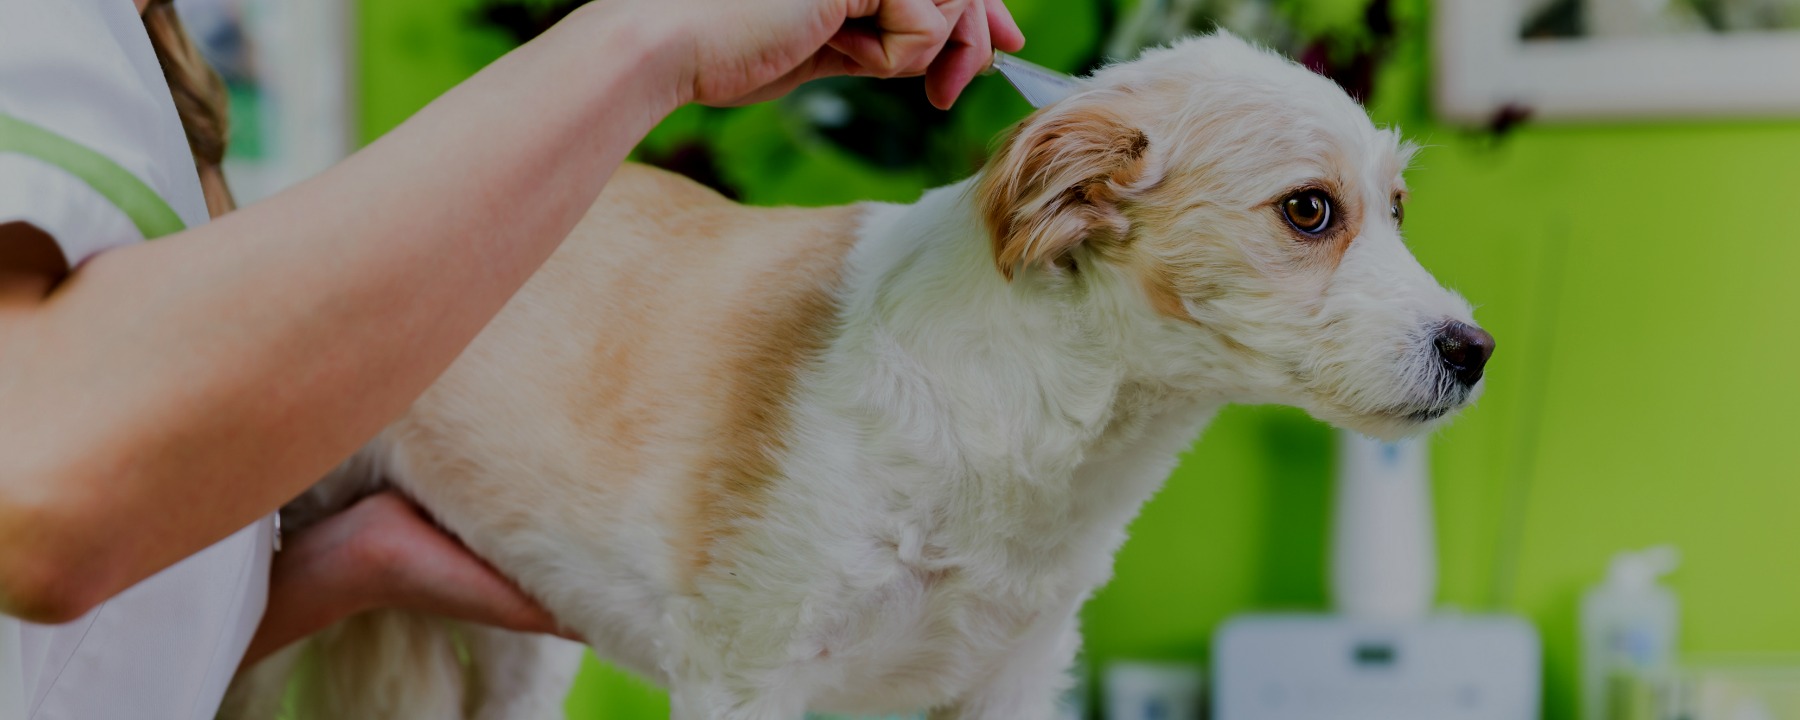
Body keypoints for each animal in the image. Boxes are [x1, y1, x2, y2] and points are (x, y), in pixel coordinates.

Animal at [225, 32, 1490, 720]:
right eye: (1310, 211)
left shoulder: (1010, 680)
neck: (1019, 426)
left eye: (1397, 208)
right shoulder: (744, 671)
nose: (1473, 352)